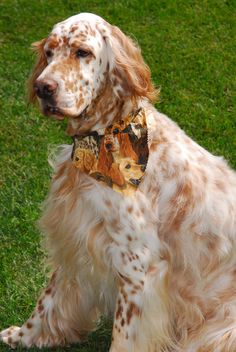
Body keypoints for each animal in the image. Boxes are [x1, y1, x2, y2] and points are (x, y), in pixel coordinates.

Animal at [0, 12, 236, 350]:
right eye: (49, 52)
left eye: (82, 52)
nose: (43, 87)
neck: (104, 139)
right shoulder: (74, 236)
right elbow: (48, 299)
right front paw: (23, 335)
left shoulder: (138, 267)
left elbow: (124, 335)